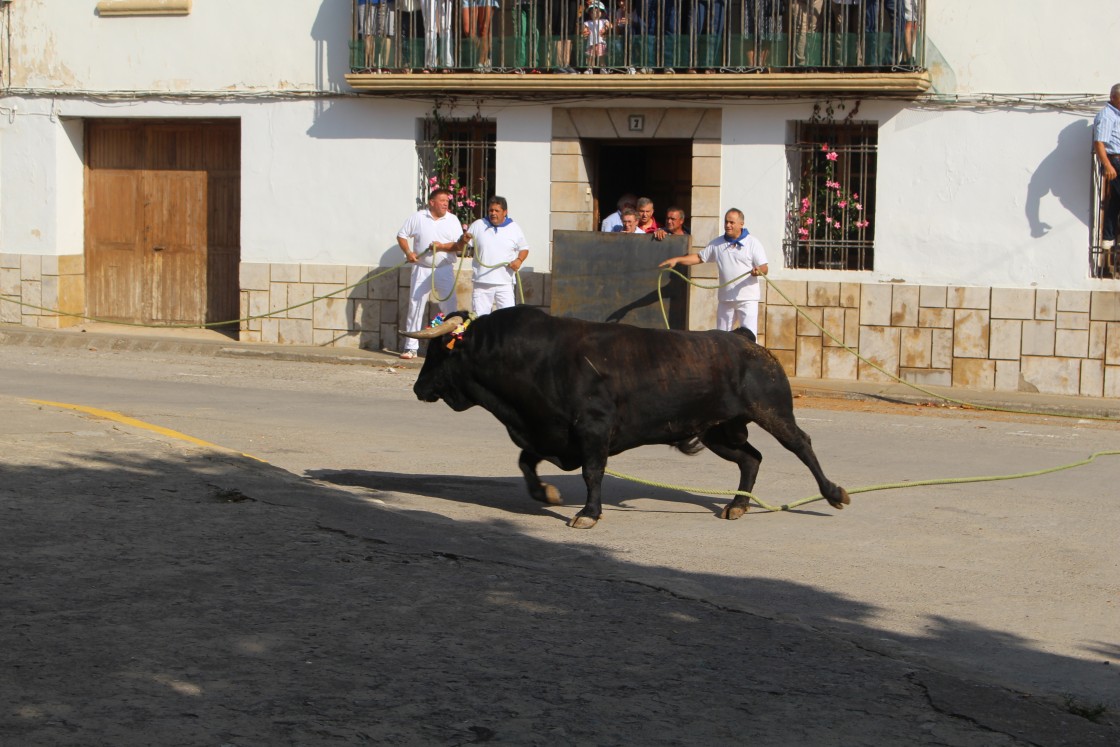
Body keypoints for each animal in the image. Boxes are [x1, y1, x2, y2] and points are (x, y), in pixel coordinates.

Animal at [407, 306, 851, 528]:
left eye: (438, 352)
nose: (418, 388)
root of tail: (742, 339)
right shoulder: (547, 432)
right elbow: (525, 462)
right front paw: (546, 495)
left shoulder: (593, 429)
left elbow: (592, 473)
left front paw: (587, 514)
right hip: (716, 431)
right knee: (751, 459)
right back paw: (737, 506)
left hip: (772, 411)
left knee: (801, 446)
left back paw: (834, 493)